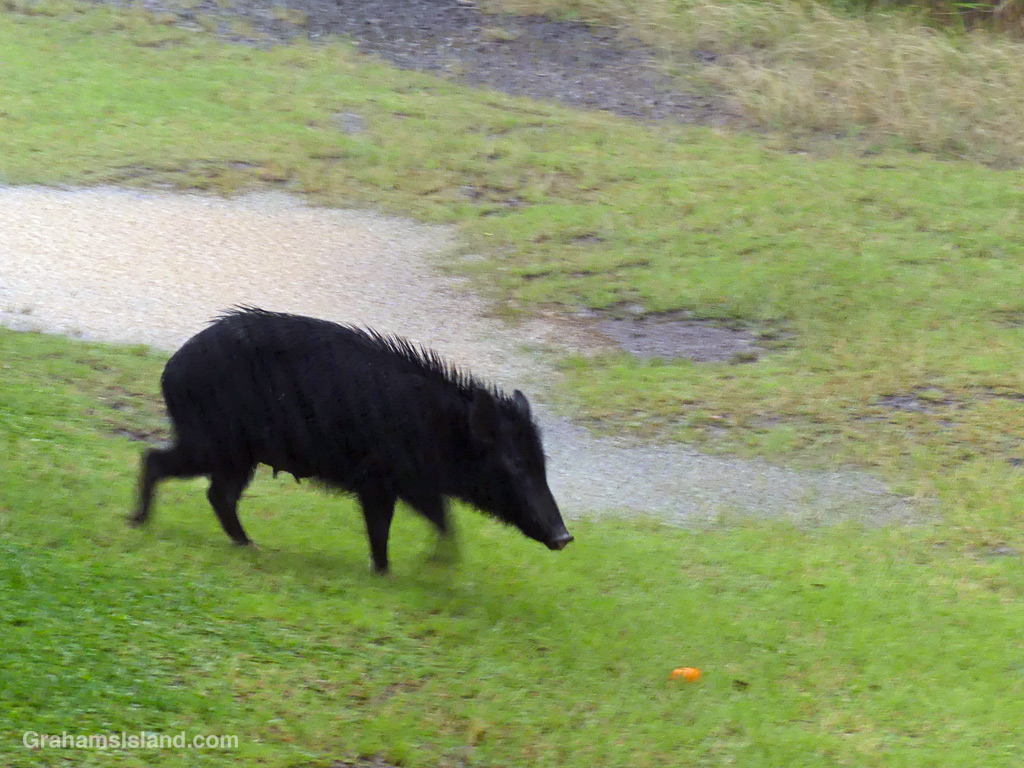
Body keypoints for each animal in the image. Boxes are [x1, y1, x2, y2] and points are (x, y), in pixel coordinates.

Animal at [129, 307, 572, 572]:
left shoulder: (409, 485)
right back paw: (139, 523)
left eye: (542, 462)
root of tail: (170, 370)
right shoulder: (380, 480)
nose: (565, 537)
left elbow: (441, 518)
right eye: (513, 463)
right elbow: (388, 527)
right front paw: (398, 571)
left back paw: (250, 546)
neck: (439, 429)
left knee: (216, 494)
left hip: (237, 456)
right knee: (157, 460)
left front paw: (439, 564)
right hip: (214, 443)